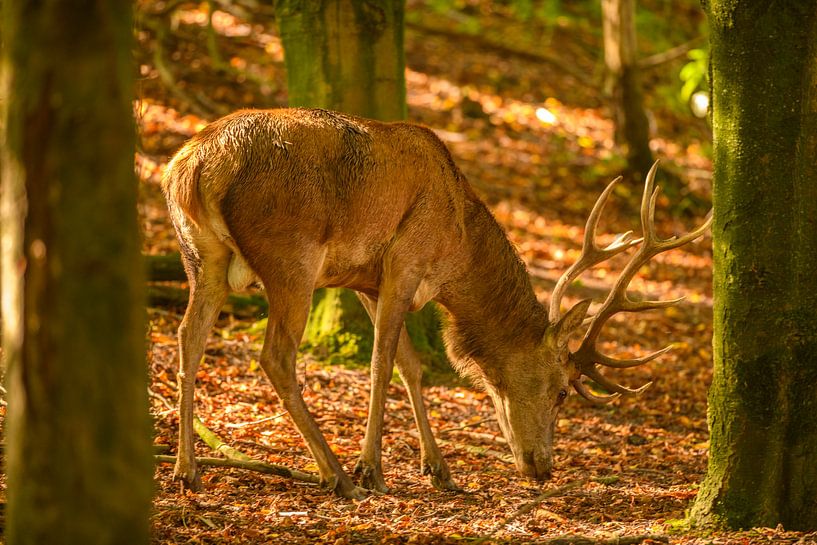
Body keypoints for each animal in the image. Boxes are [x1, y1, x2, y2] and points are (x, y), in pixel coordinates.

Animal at [162, 107, 710, 499]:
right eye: (561, 393)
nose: (544, 468)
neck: (458, 247)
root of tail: (192, 167)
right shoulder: (405, 260)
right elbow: (383, 362)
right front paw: (373, 468)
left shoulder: (365, 280)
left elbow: (412, 365)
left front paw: (440, 471)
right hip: (291, 255)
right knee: (275, 355)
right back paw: (338, 476)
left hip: (201, 256)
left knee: (188, 336)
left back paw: (188, 469)